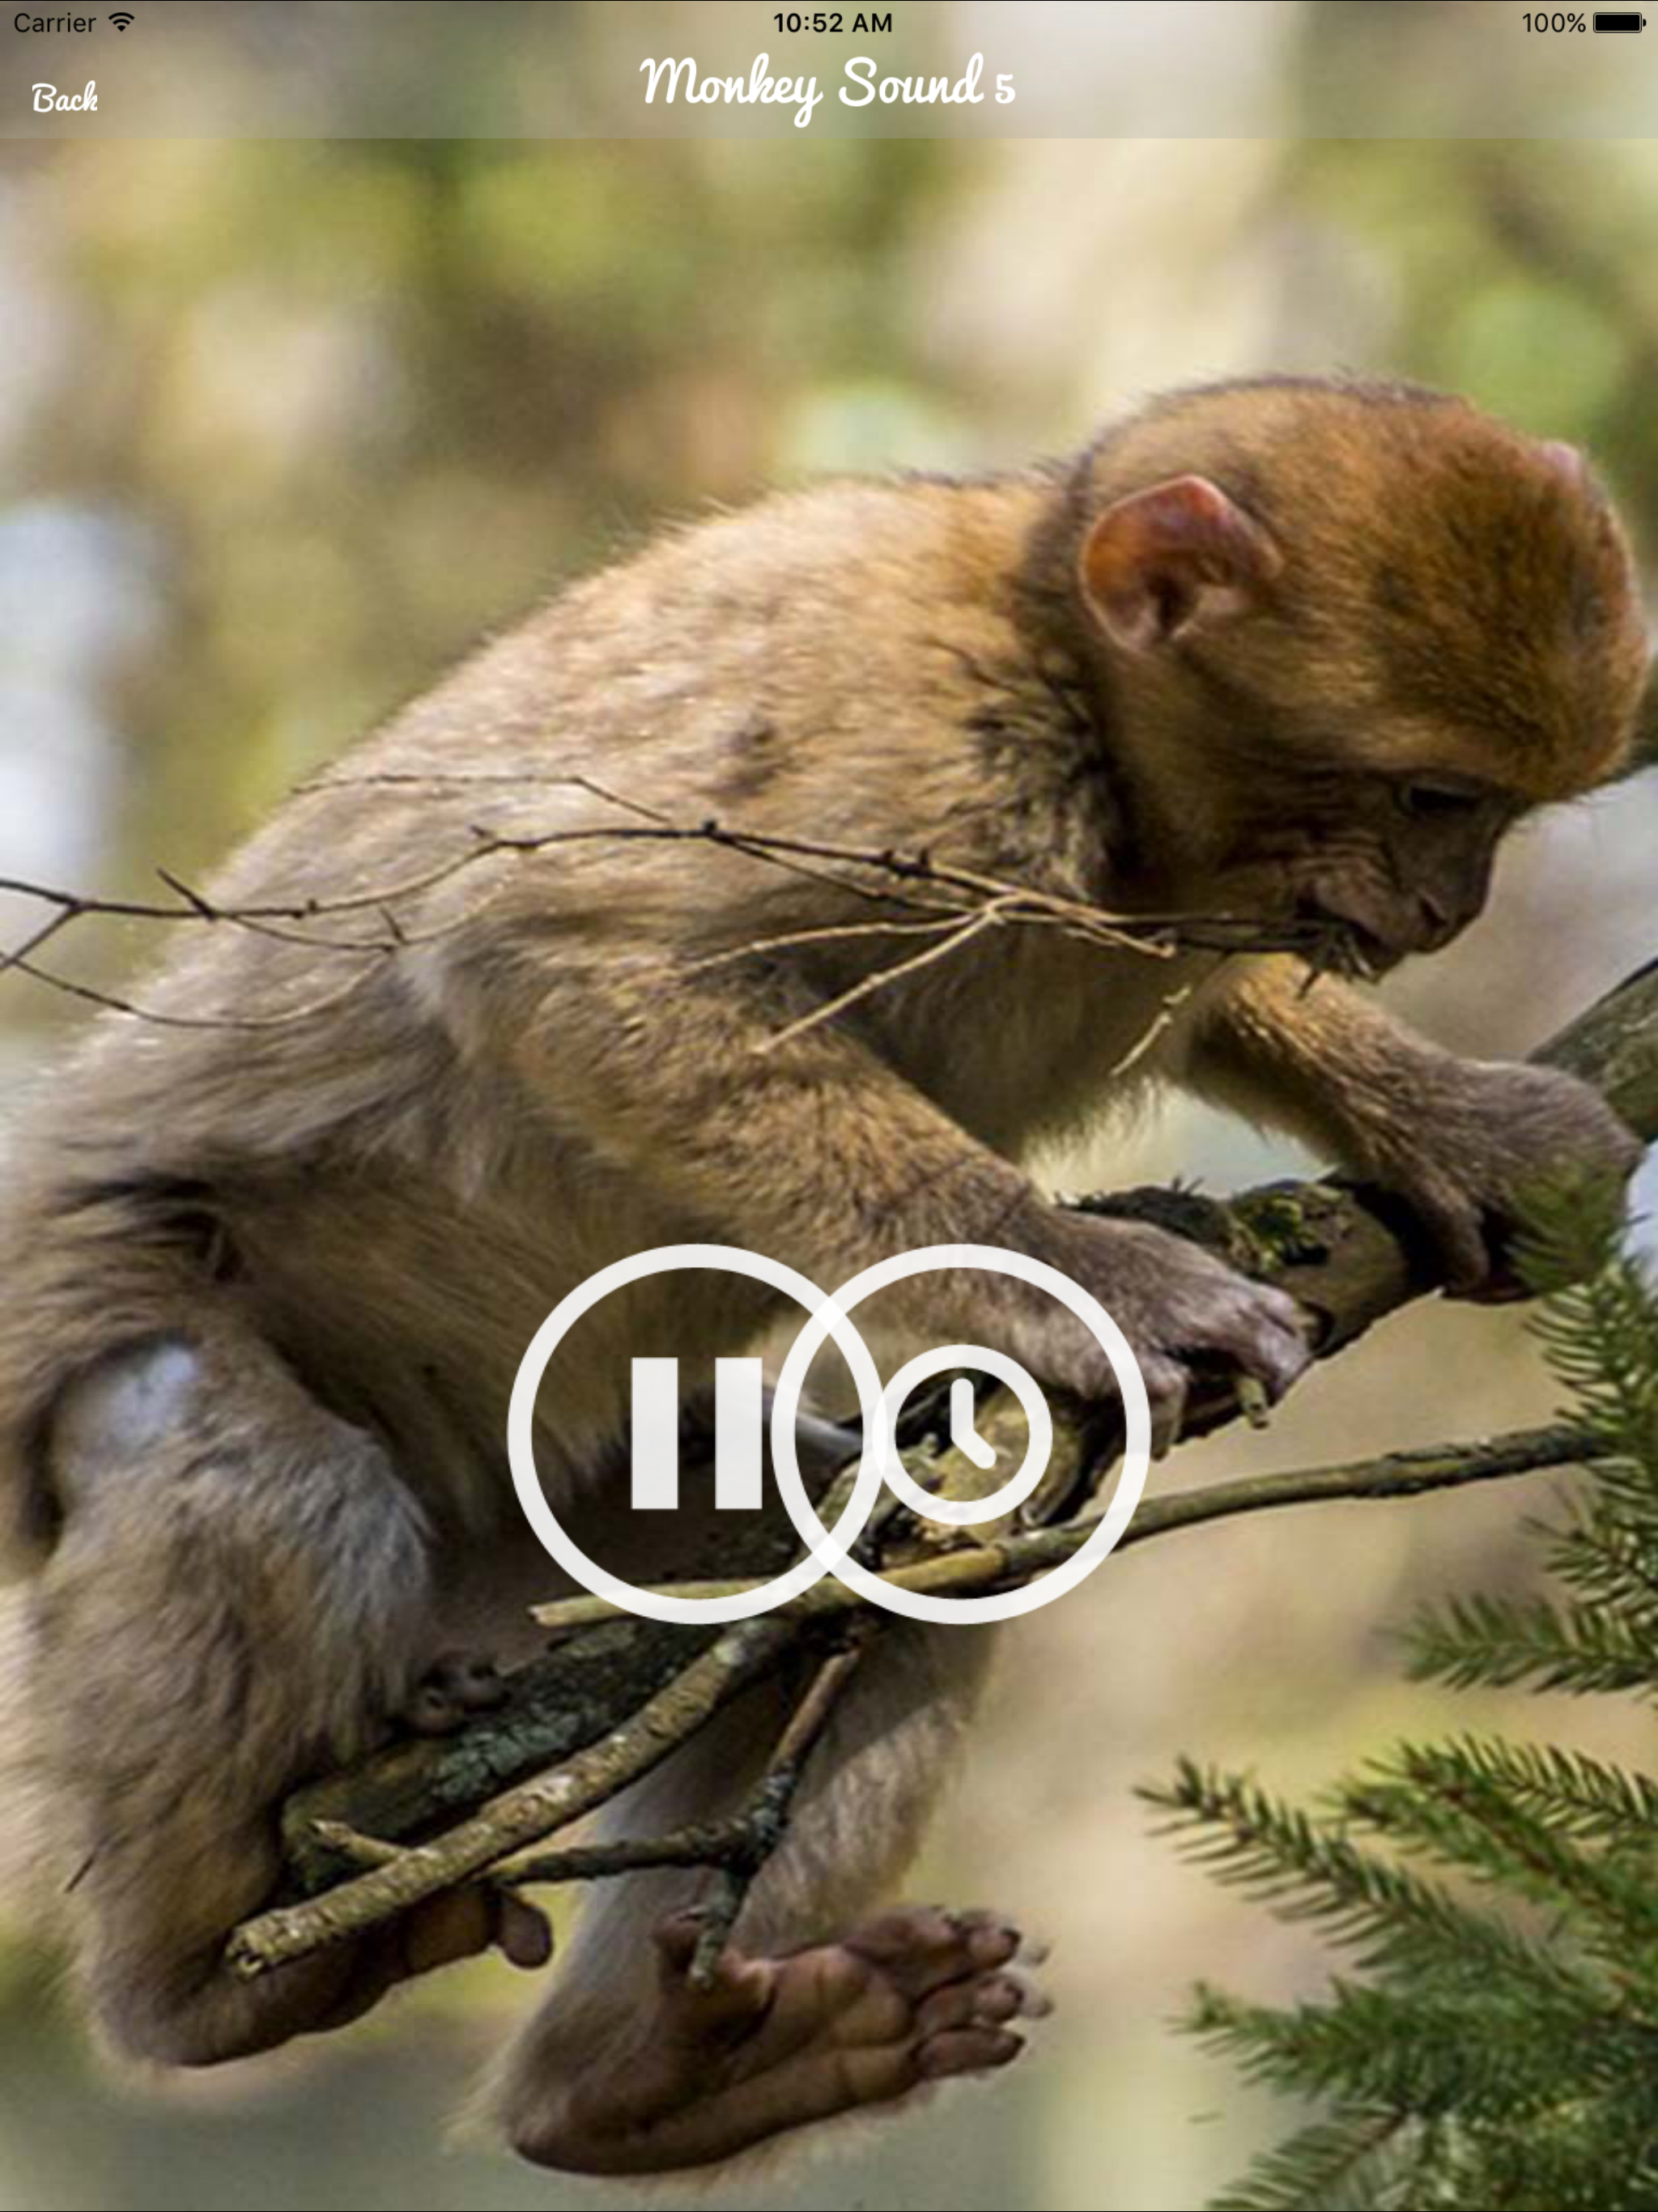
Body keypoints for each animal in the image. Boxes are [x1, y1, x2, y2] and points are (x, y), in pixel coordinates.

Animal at [0, 375, 1646, 2178]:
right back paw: (200, 1986)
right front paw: (1090, 1277)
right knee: (216, 1433)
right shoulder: (906, 752)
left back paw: (644, 2080)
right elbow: (568, 954)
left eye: (1488, 813)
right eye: (1433, 798)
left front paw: (1457, 1123)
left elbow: (1228, 994)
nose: (1449, 908)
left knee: (895, 1565)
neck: (1062, 676)